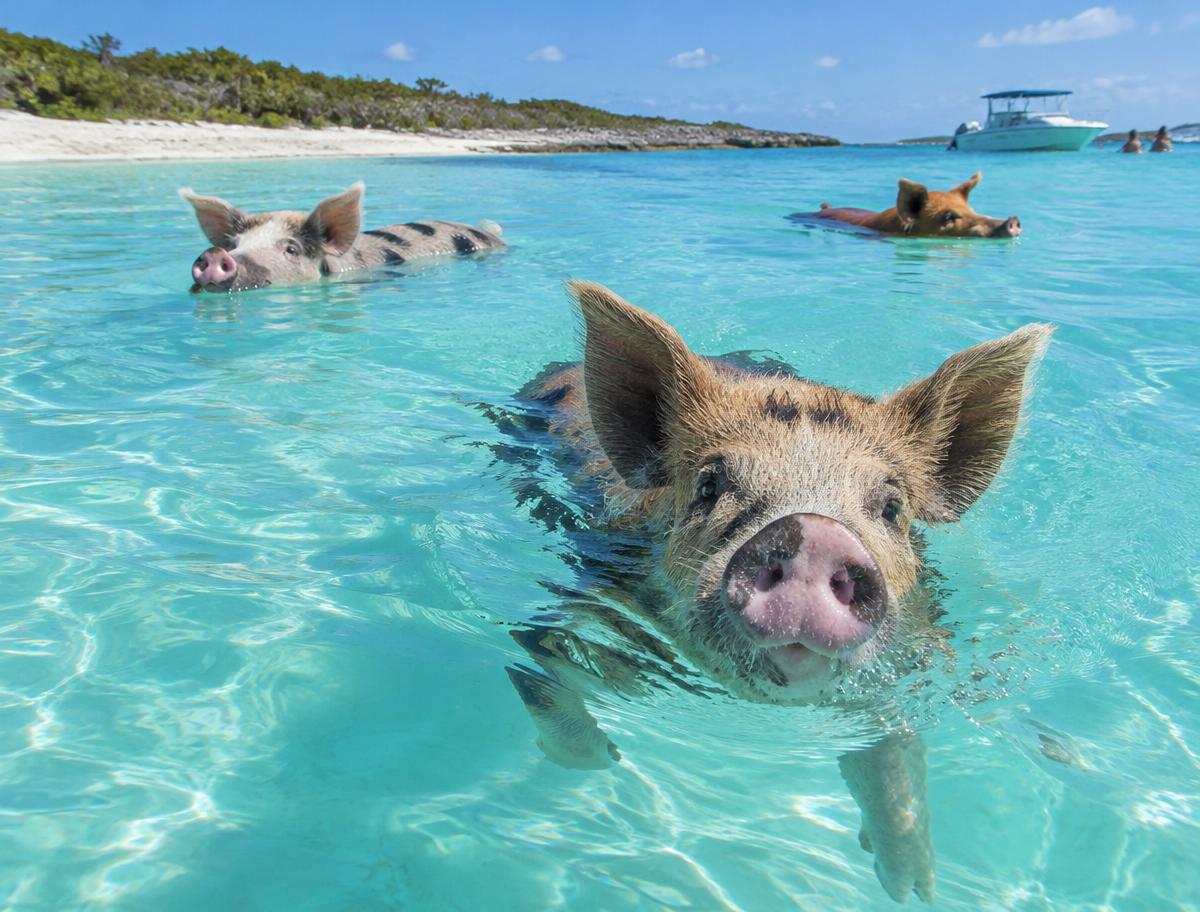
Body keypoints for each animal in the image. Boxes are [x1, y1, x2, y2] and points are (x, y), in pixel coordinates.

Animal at [504, 281, 1052, 902]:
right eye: (709, 485)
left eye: (891, 508)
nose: (814, 532)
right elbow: (542, 676)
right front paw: (607, 761)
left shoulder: (906, 667)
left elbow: (897, 752)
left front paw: (913, 888)